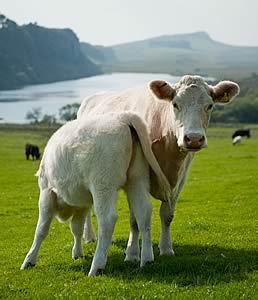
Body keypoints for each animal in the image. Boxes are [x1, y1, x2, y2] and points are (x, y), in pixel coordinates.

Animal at [20, 111, 171, 276]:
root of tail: (122, 117)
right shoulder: (82, 204)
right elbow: (77, 228)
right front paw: (77, 253)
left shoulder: (46, 193)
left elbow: (41, 229)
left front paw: (29, 259)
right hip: (136, 181)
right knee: (143, 213)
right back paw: (147, 259)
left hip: (103, 186)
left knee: (107, 219)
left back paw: (96, 266)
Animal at [77, 75, 240, 258]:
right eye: (175, 104)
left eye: (210, 105)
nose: (193, 138)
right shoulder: (135, 180)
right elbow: (134, 219)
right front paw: (132, 252)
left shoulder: (179, 181)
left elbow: (167, 216)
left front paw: (166, 248)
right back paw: (89, 236)